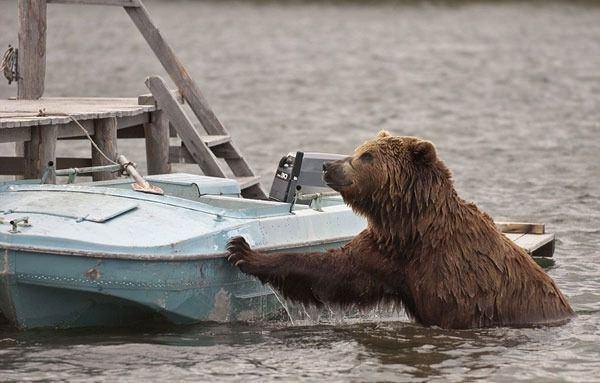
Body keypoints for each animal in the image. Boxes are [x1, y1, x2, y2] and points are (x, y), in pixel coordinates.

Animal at [227, 130, 576, 328]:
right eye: (359, 148)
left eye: (366, 155)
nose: (329, 166)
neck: (413, 228)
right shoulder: (385, 254)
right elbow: (334, 272)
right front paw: (243, 250)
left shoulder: (455, 280)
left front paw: (241, 250)